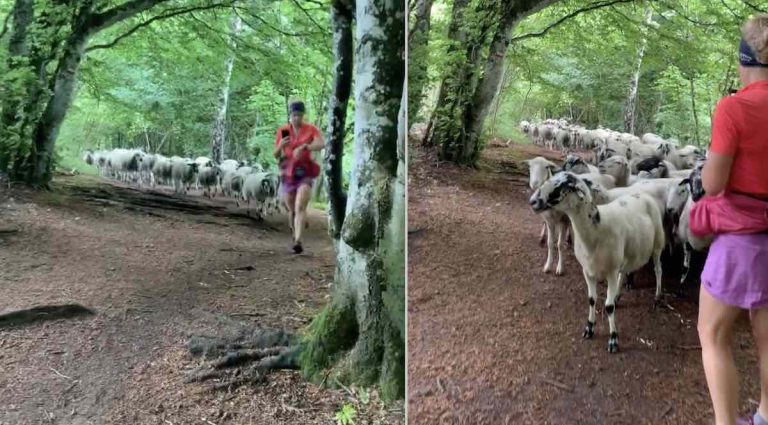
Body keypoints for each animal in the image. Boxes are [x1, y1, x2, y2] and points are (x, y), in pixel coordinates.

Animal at [529, 172, 665, 353]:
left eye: (562, 185)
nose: (533, 201)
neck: (595, 230)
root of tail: (644, 195)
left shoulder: (611, 272)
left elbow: (608, 307)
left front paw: (613, 339)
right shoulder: (587, 271)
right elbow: (591, 299)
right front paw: (589, 328)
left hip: (657, 244)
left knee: (658, 270)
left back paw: (657, 298)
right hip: (626, 253)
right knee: (624, 271)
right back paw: (618, 296)